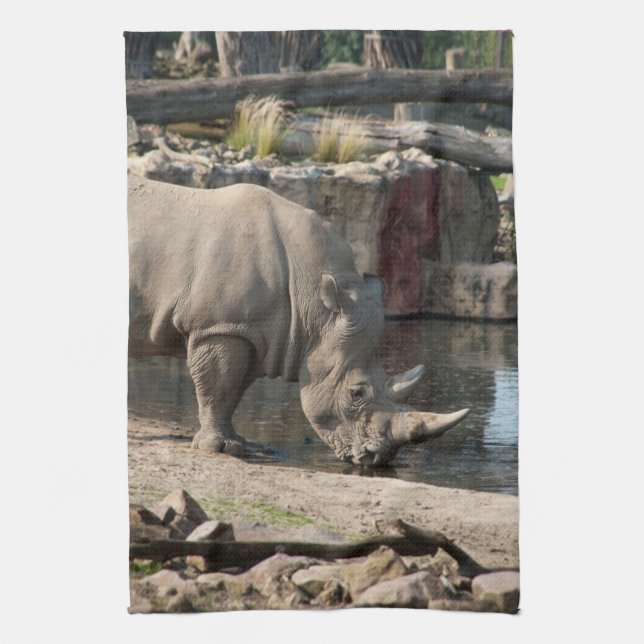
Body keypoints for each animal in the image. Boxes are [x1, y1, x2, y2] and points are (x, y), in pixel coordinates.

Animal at [128, 174, 469, 465]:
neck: (317, 307)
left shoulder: (256, 334)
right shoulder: (220, 327)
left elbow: (233, 390)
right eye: (356, 394)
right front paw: (218, 449)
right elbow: (217, 385)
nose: (378, 459)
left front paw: (237, 443)